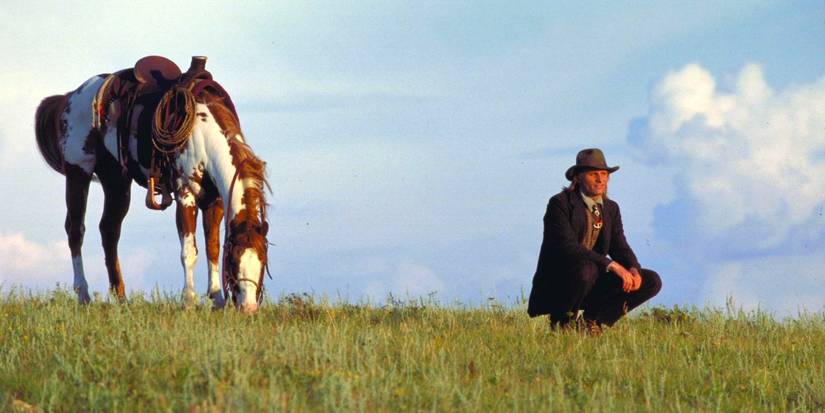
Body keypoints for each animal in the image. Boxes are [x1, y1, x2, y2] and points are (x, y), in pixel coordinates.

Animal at [34, 56, 269, 312]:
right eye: (234, 260)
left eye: (263, 258)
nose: (249, 308)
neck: (203, 132)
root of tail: (71, 96)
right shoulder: (185, 194)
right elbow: (189, 251)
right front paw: (188, 301)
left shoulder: (213, 201)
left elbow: (213, 248)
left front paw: (216, 300)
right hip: (78, 172)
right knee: (76, 229)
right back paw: (84, 295)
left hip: (116, 180)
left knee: (109, 230)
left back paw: (121, 298)